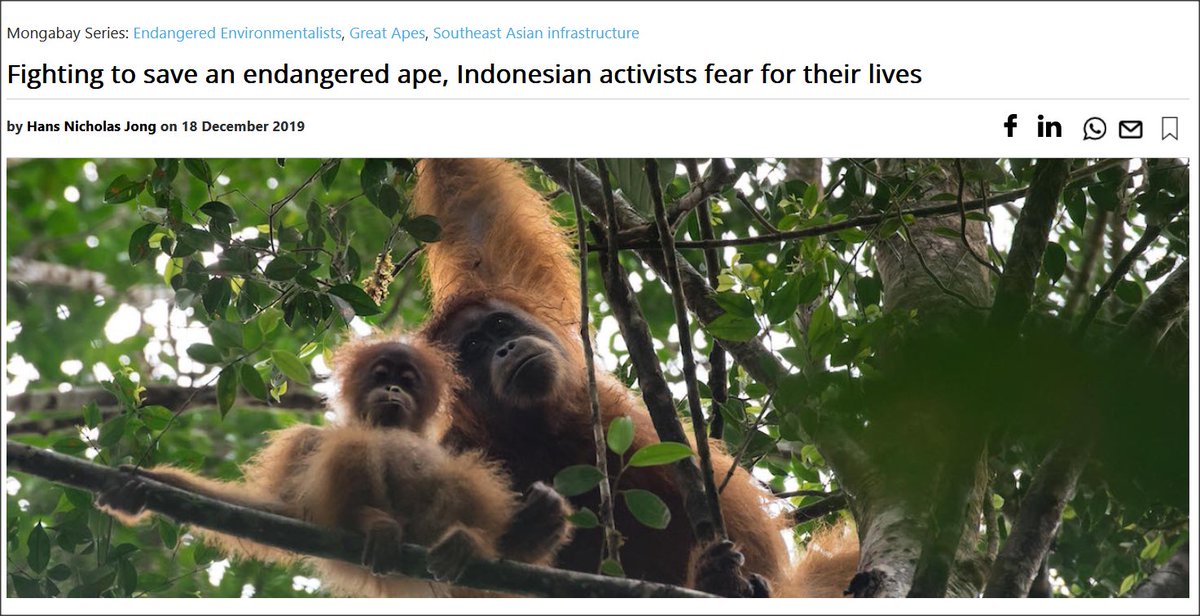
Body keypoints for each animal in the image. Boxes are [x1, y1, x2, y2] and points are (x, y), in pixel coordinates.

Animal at [97, 334, 572, 597]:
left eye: (407, 380)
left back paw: (473, 542)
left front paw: (538, 516)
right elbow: (279, 510)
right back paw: (369, 521)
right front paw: (145, 486)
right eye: (381, 375)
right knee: (354, 447)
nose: (393, 389)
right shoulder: (307, 441)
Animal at [411, 158, 858, 596]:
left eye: (500, 326)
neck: (544, 431)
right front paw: (531, 526)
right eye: (472, 350)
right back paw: (712, 578)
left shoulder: (499, 280)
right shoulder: (451, 453)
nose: (505, 349)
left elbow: (473, 211)